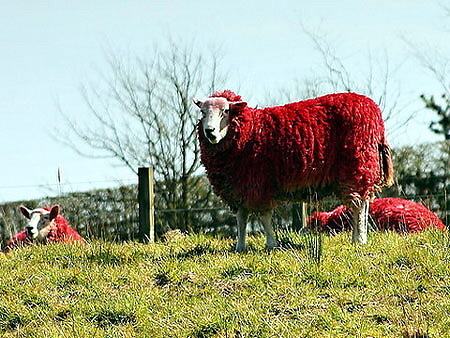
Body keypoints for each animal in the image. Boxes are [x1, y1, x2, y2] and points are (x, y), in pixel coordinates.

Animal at [195, 90, 392, 251]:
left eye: (225, 111)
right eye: (203, 112)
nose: (210, 131)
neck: (250, 131)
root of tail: (374, 111)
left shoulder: (258, 184)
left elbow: (265, 216)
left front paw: (271, 244)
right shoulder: (238, 186)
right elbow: (241, 218)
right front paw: (240, 247)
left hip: (357, 167)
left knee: (359, 206)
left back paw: (359, 240)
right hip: (362, 170)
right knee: (363, 204)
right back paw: (359, 238)